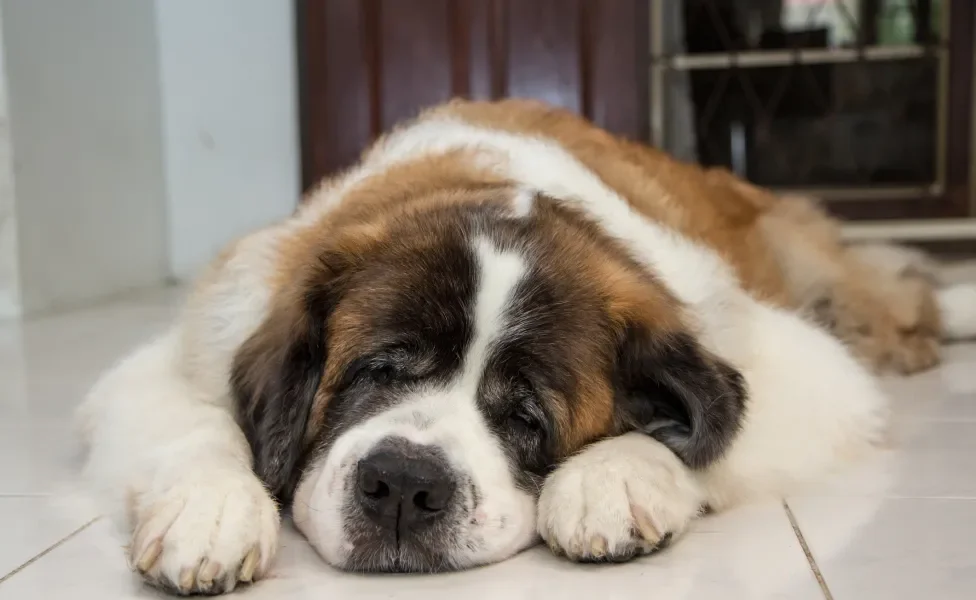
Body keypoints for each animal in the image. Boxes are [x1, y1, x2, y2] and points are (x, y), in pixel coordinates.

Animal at [78, 99, 976, 596]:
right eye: (375, 372)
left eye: (526, 419)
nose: (403, 483)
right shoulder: (194, 343)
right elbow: (199, 426)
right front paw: (210, 510)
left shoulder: (805, 373)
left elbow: (707, 437)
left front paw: (615, 477)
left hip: (820, 279)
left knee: (902, 297)